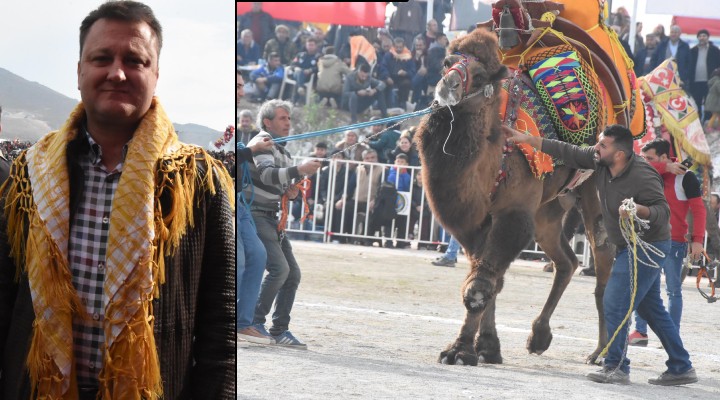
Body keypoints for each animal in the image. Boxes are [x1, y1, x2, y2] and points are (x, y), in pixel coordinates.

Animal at [414, 28, 616, 366]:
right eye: (446, 62)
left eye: (480, 76)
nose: (448, 85)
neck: (496, 157)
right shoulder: (475, 222)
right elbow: (489, 278)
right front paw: (486, 347)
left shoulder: (513, 211)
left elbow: (480, 287)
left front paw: (461, 351)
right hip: (548, 211)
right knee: (567, 261)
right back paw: (539, 337)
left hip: (595, 191)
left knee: (604, 266)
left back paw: (600, 352)